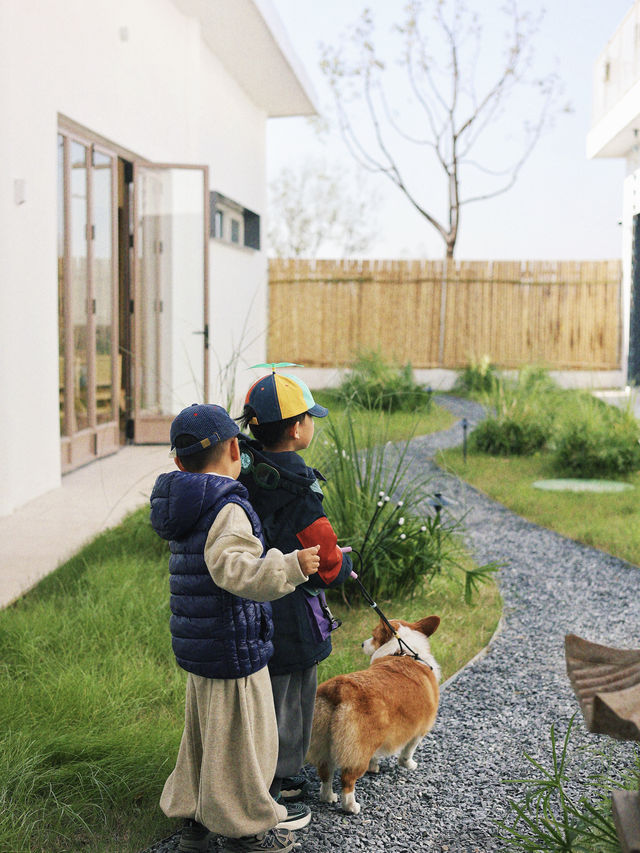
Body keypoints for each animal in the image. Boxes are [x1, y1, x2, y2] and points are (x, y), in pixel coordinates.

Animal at [306, 612, 440, 812]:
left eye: (373, 636)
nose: (362, 644)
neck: (402, 653)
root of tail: (338, 689)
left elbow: (376, 755)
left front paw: (374, 767)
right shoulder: (419, 730)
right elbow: (407, 751)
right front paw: (409, 764)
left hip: (323, 742)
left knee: (325, 772)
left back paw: (328, 797)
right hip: (357, 749)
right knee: (347, 779)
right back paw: (351, 807)